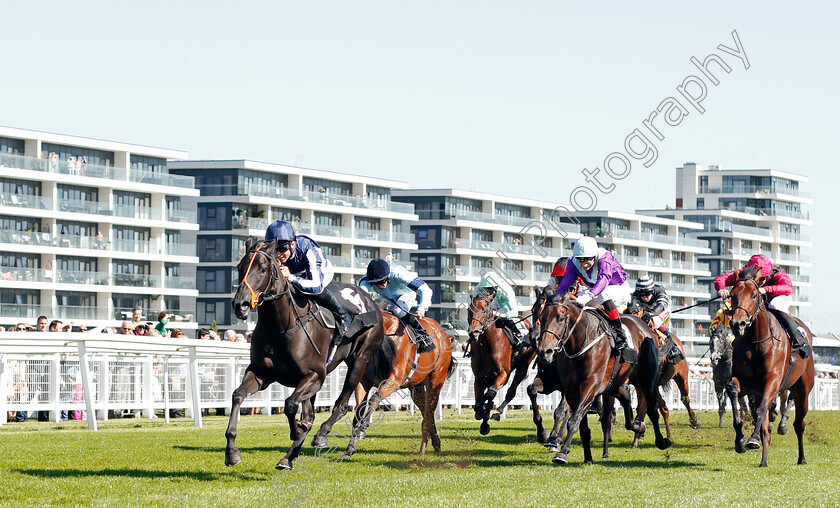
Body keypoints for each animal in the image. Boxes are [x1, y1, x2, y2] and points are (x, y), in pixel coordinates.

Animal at [230, 237, 388, 468]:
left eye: (263, 268)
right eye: (240, 267)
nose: (239, 304)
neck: (280, 327)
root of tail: (371, 301)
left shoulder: (315, 375)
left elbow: (290, 405)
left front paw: (298, 430)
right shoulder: (261, 373)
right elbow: (238, 395)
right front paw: (231, 452)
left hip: (360, 359)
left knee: (341, 405)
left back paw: (322, 436)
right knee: (313, 413)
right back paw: (289, 457)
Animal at [346, 310, 456, 456]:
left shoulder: (394, 380)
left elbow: (374, 399)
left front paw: (362, 430)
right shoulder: (364, 382)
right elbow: (359, 409)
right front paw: (351, 446)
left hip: (436, 380)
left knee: (429, 411)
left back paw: (423, 448)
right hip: (416, 386)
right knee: (426, 410)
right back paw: (435, 443)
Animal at [462, 288, 536, 434]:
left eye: (485, 309)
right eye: (469, 309)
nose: (474, 332)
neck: (487, 346)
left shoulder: (503, 374)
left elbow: (490, 393)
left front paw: (484, 415)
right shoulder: (479, 378)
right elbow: (480, 400)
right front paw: (481, 414)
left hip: (523, 365)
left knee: (510, 392)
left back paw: (498, 412)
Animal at [536, 294, 672, 464]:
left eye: (561, 318)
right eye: (541, 317)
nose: (544, 352)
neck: (581, 343)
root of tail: (644, 325)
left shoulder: (590, 386)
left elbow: (574, 420)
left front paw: (562, 453)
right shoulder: (572, 390)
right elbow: (580, 424)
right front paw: (587, 457)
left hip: (647, 380)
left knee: (653, 410)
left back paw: (661, 440)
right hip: (614, 383)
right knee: (625, 397)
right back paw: (637, 425)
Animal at [724, 266, 816, 468]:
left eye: (754, 295)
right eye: (733, 295)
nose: (738, 324)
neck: (756, 340)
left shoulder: (773, 381)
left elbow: (761, 411)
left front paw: (752, 438)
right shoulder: (747, 383)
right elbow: (733, 390)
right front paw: (740, 440)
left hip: (803, 391)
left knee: (799, 424)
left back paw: (801, 457)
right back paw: (764, 460)